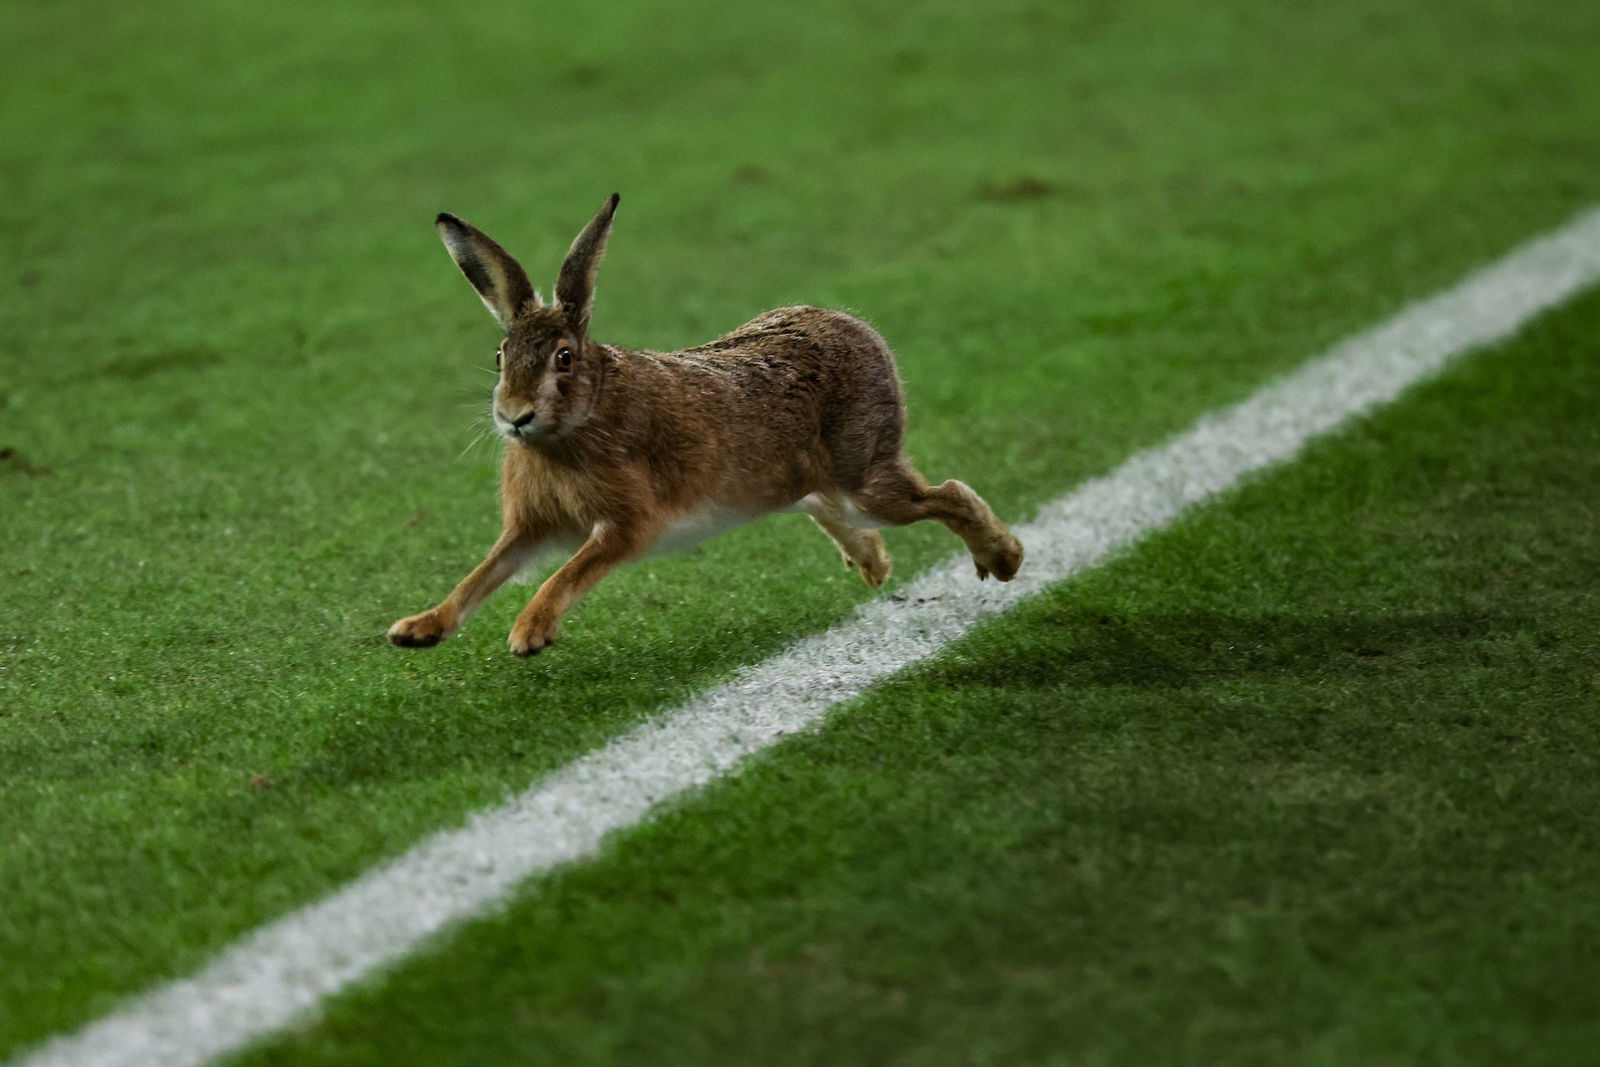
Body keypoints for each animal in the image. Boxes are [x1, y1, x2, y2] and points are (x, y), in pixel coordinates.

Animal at [387, 194, 1023, 657]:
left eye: (563, 358)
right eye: (500, 356)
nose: (514, 416)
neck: (580, 420)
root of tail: (856, 328)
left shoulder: (627, 523)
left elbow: (568, 572)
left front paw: (529, 633)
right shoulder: (530, 527)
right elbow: (482, 574)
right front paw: (419, 628)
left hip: (862, 472)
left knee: (946, 494)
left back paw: (1004, 559)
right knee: (825, 504)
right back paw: (874, 564)